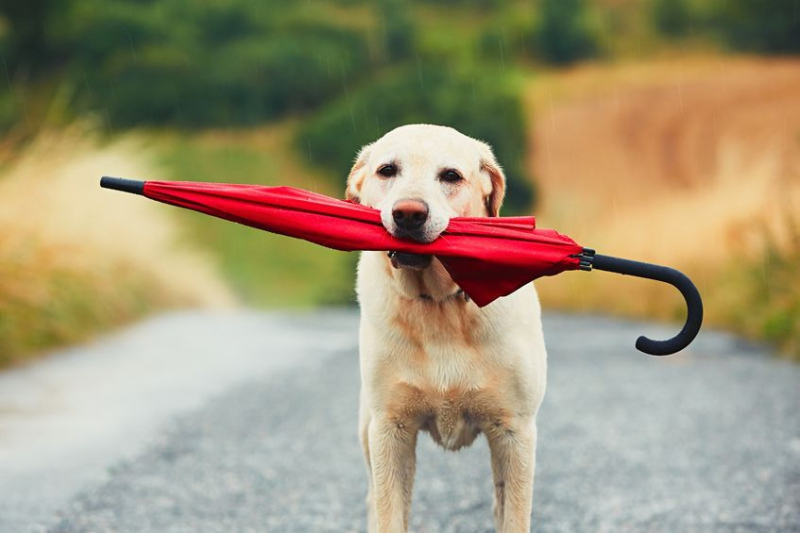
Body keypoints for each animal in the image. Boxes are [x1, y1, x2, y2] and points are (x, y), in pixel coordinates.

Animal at [346, 124, 548, 532]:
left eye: (451, 176)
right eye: (387, 170)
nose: (408, 214)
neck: (439, 305)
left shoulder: (515, 432)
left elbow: (514, 515)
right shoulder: (390, 430)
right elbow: (390, 514)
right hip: (367, 429)